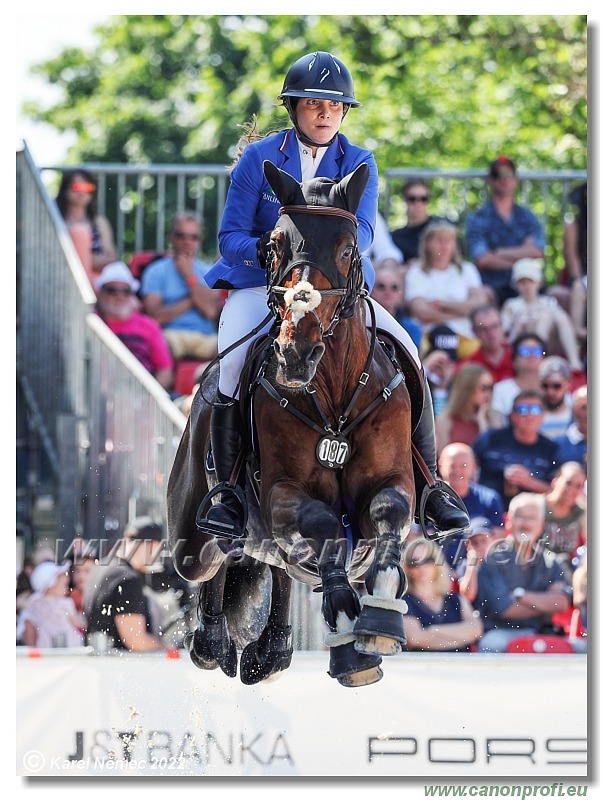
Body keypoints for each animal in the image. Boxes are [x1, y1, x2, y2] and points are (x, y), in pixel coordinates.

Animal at [168, 161, 418, 688]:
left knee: (277, 567)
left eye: (347, 248)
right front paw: (346, 627)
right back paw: (213, 643)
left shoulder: (393, 480)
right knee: (217, 557)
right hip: (191, 541)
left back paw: (272, 653)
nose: (296, 353)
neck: (334, 393)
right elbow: (322, 525)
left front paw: (379, 619)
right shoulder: (283, 494)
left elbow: (387, 510)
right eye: (276, 246)